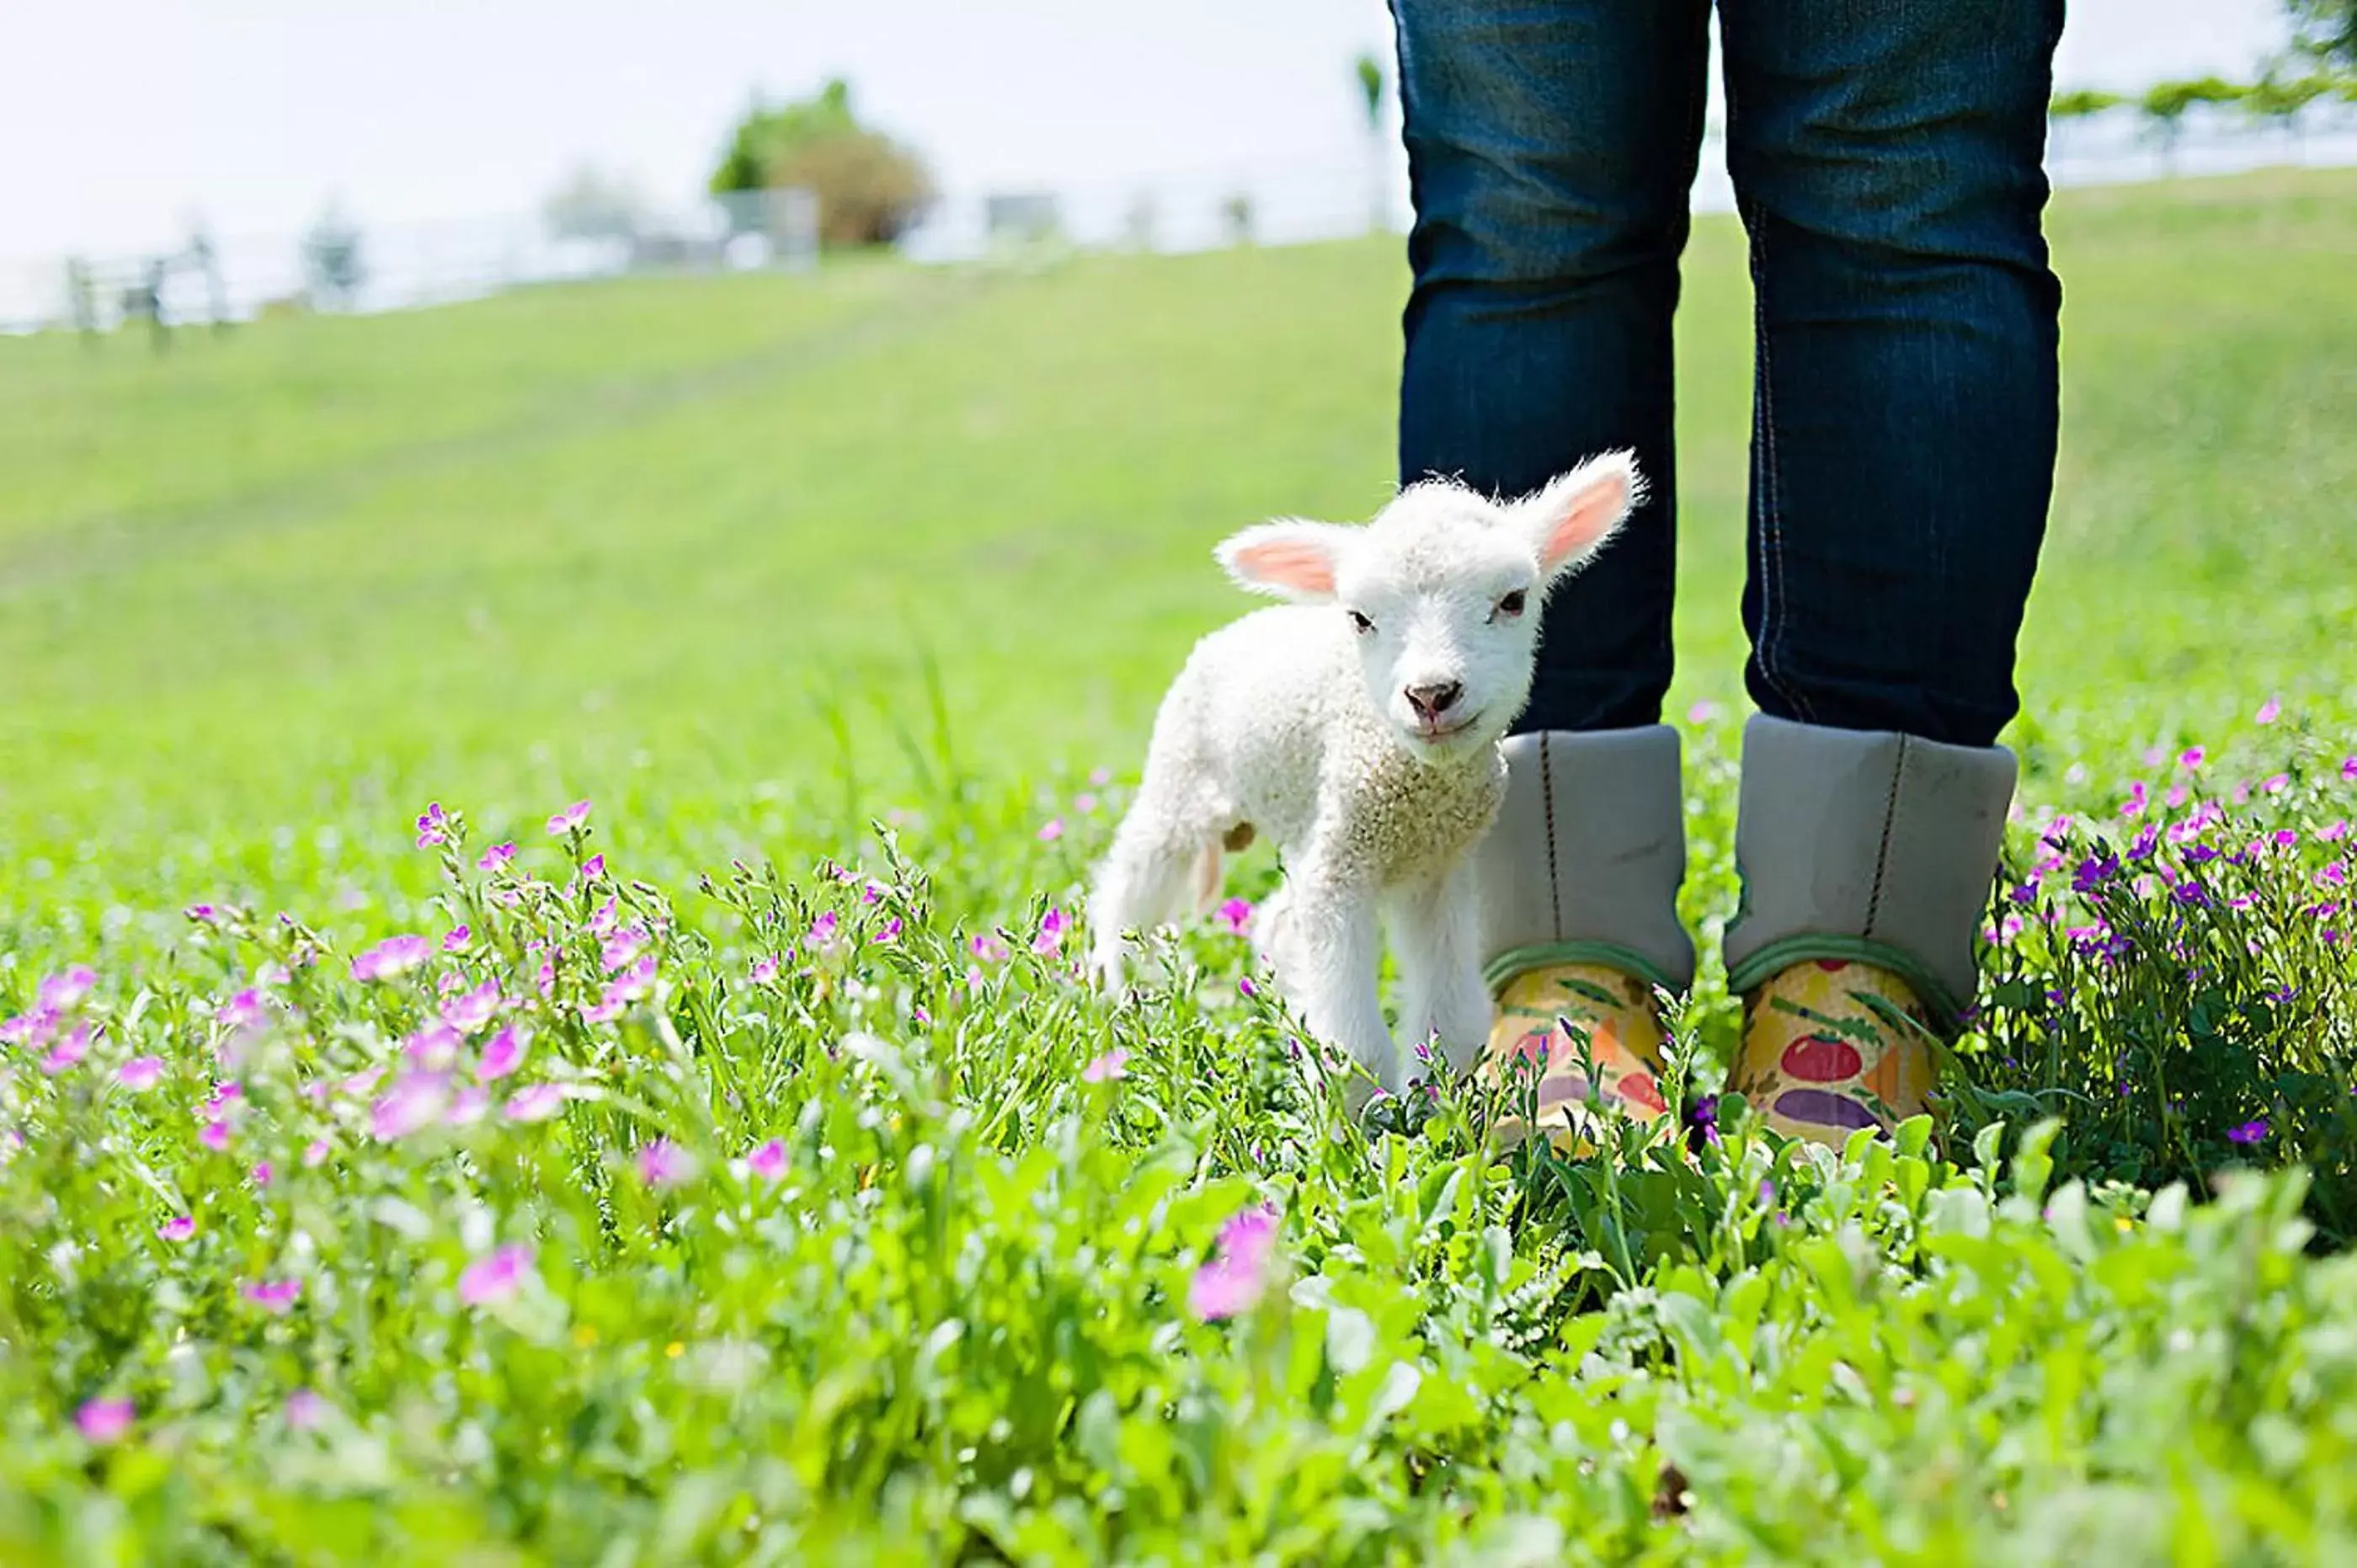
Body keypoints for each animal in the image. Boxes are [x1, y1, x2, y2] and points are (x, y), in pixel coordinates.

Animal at [1084, 452, 1640, 1108]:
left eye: (1512, 600)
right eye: (1360, 619)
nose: (1431, 695)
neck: (1415, 792)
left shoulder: (1436, 871)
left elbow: (1451, 1022)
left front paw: (1435, 1104)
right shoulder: (1341, 864)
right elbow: (1350, 1047)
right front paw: (1354, 1120)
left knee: (1276, 920)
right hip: (1181, 776)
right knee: (1129, 884)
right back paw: (1118, 993)